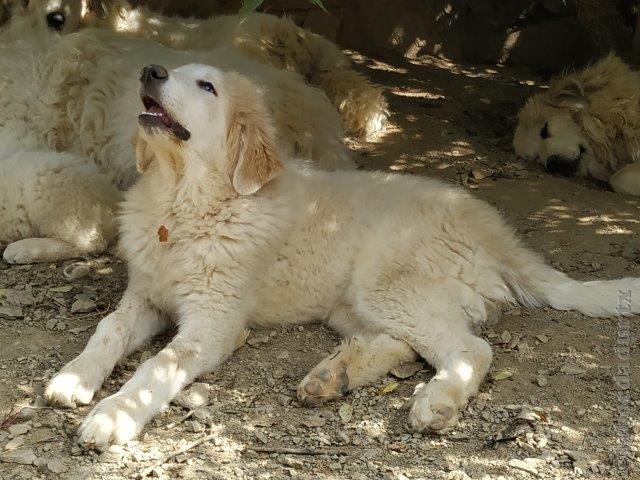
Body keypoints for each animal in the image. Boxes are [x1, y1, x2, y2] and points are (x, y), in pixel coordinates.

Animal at [45, 62, 640, 450]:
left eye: (206, 85)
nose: (150, 71)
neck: (184, 203)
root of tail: (496, 230)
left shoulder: (214, 322)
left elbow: (158, 365)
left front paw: (114, 415)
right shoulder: (146, 294)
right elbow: (107, 330)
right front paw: (75, 378)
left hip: (382, 283)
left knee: (471, 347)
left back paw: (437, 400)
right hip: (352, 303)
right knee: (411, 343)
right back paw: (335, 376)